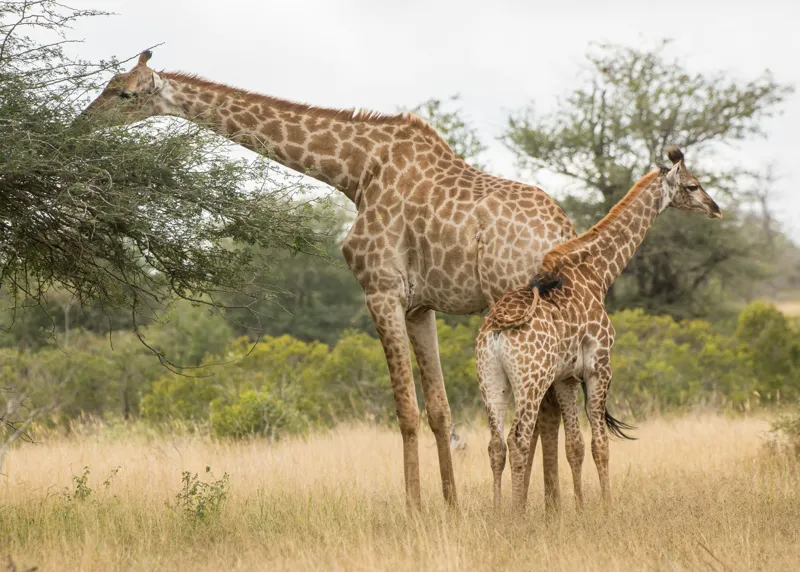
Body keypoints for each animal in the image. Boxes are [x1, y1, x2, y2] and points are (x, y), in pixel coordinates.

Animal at [80, 49, 596, 509]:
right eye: (108, 84)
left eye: (124, 92)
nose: (80, 124)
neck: (355, 170)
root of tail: (563, 231)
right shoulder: (419, 305)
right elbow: (438, 409)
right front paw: (450, 506)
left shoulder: (380, 290)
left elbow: (405, 410)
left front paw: (414, 508)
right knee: (551, 408)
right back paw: (552, 506)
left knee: (544, 410)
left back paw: (541, 507)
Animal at [476, 147, 722, 513]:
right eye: (693, 185)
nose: (715, 208)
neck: (597, 273)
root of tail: (496, 330)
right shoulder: (599, 366)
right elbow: (600, 445)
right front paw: (606, 508)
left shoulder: (565, 377)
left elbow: (575, 446)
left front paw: (580, 509)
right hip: (530, 381)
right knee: (518, 439)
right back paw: (516, 515)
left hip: (491, 380)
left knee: (495, 445)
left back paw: (497, 514)